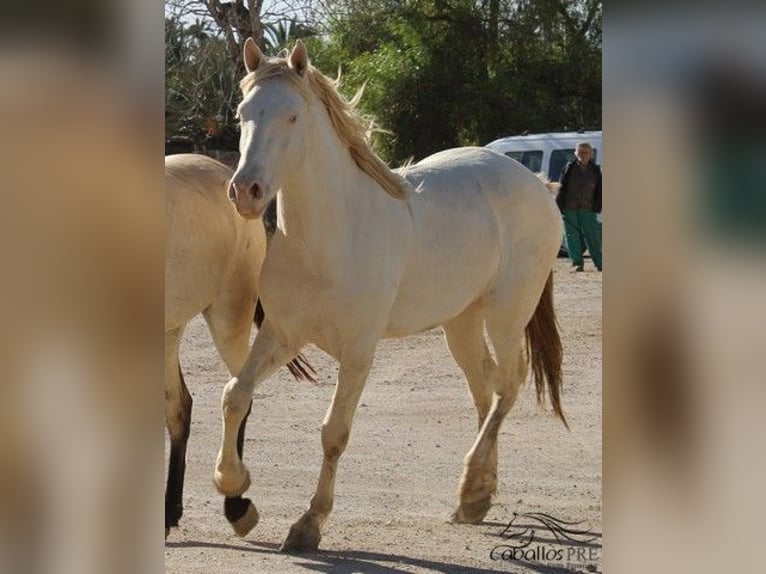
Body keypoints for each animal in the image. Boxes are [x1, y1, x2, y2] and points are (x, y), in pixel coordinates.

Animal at [165, 154, 316, 540]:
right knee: (179, 408)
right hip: (170, 332)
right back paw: (170, 513)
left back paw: (235, 505)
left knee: (238, 393)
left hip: (228, 318)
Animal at [216, 40, 568, 552]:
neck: (327, 238)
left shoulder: (359, 352)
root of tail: (537, 185)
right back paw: (477, 495)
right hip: (461, 322)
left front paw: (308, 523)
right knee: (485, 389)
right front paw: (235, 489)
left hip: (507, 314)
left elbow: (334, 433)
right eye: (243, 113)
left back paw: (473, 489)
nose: (246, 191)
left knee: (509, 383)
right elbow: (235, 395)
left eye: (292, 116)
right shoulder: (283, 335)